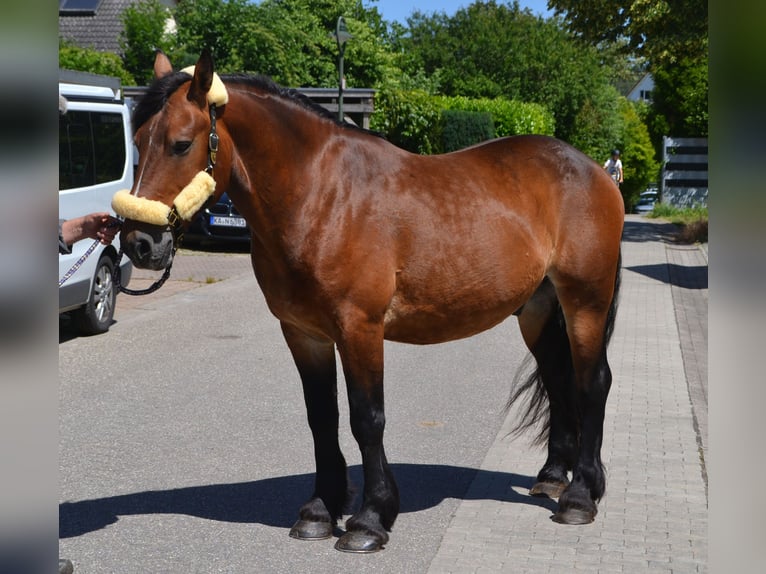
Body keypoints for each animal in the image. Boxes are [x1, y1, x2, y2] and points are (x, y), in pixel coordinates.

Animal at [114, 50, 624, 553]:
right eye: (136, 142)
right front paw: (320, 510)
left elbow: (367, 417)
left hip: (585, 302)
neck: (322, 196)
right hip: (538, 312)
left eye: (181, 144)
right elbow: (322, 417)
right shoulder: (304, 333)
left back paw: (581, 496)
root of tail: (594, 171)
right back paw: (553, 477)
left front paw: (370, 518)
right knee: (558, 381)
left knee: (592, 383)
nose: (140, 243)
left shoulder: (360, 327)